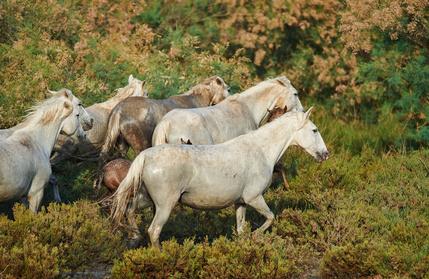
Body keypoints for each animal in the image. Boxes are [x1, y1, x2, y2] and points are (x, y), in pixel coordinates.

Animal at [110, 107, 328, 249]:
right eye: (315, 130)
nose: (325, 154)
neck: (261, 150)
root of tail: (146, 155)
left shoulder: (241, 202)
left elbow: (241, 229)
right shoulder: (254, 198)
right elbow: (270, 217)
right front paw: (255, 237)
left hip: (147, 199)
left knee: (129, 212)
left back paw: (134, 238)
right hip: (165, 205)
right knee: (154, 230)